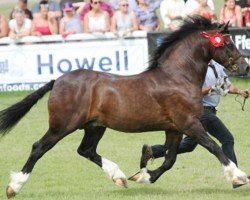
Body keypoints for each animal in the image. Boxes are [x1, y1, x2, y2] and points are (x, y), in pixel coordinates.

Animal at [0, 16, 249, 198]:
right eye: (228, 44)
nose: (245, 67)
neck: (177, 77)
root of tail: (58, 80)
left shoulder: (174, 128)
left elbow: (170, 160)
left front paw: (143, 175)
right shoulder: (189, 123)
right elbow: (213, 146)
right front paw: (238, 176)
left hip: (95, 126)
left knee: (86, 150)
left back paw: (118, 177)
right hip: (62, 126)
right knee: (38, 148)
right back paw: (14, 186)